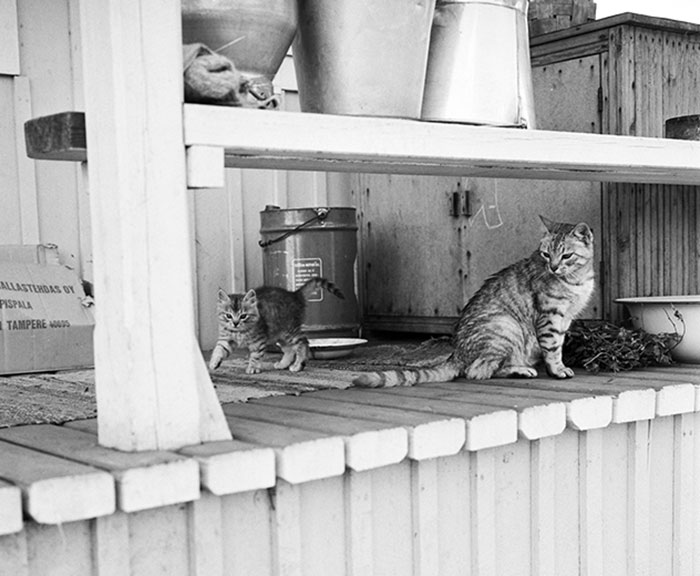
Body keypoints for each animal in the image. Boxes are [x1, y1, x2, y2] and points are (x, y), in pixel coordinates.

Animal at [352, 216, 592, 388]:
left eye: (567, 255)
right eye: (545, 254)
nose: (553, 267)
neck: (577, 279)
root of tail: (456, 353)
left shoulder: (566, 319)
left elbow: (559, 344)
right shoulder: (550, 317)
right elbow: (553, 347)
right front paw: (557, 370)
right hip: (506, 327)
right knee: (477, 371)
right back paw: (521, 370)